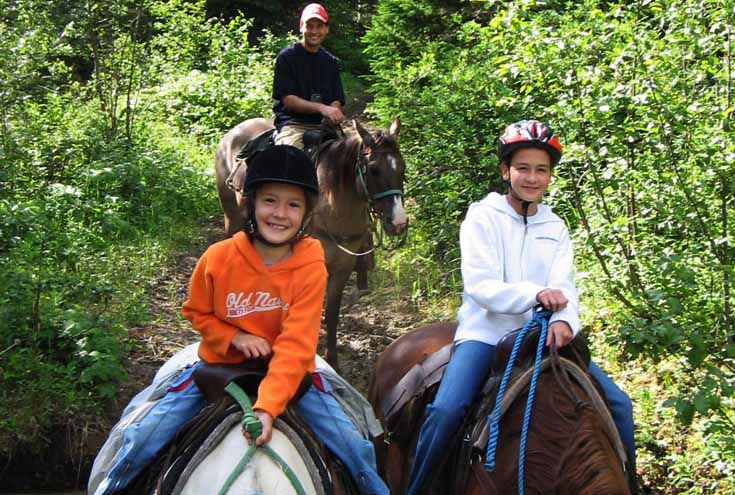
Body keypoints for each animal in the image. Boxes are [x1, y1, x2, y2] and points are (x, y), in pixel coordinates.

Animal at [217, 119, 408, 368]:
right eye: (373, 169)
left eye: (402, 169)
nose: (399, 223)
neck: (333, 203)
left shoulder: (343, 266)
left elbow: (332, 311)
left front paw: (332, 359)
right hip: (231, 215)